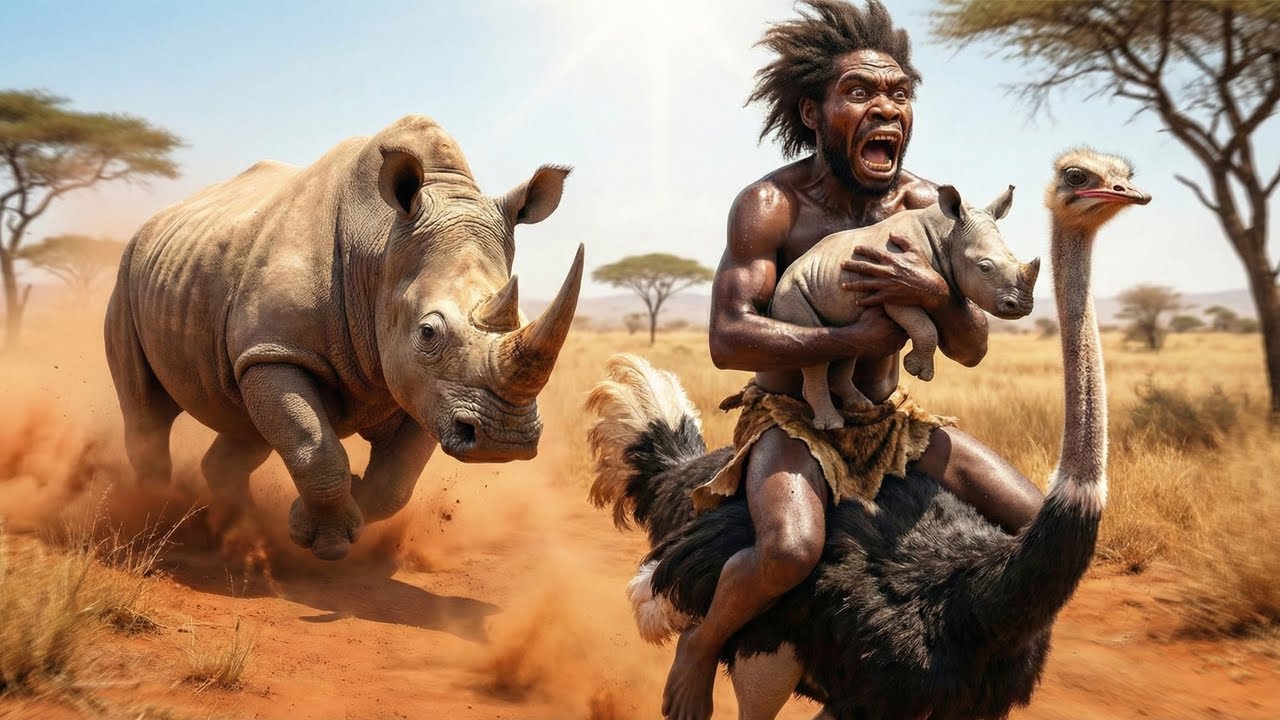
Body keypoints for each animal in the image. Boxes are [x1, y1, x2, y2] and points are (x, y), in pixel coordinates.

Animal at [104, 115, 582, 560]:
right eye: (428, 332)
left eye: (523, 320)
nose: (504, 439)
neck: (379, 248)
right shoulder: (276, 350)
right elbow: (313, 446)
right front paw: (327, 542)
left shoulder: (428, 388)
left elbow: (395, 481)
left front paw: (353, 509)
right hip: (127, 274)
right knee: (146, 413)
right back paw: (159, 513)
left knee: (245, 425)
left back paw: (235, 531)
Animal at [771, 184, 1039, 429]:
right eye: (984, 267)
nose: (1022, 307)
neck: (947, 235)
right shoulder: (892, 290)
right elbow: (925, 327)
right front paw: (918, 370)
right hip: (791, 291)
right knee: (813, 346)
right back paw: (832, 424)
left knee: (845, 340)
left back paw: (861, 405)